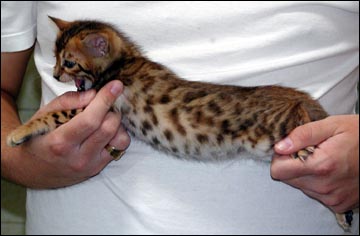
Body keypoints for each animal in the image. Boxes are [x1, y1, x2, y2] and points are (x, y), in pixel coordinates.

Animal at [6, 16, 354, 230]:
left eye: (68, 62)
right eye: (54, 57)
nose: (54, 75)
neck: (125, 61)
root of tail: (295, 96)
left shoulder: (102, 106)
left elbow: (51, 115)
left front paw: (19, 131)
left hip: (284, 132)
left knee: (303, 130)